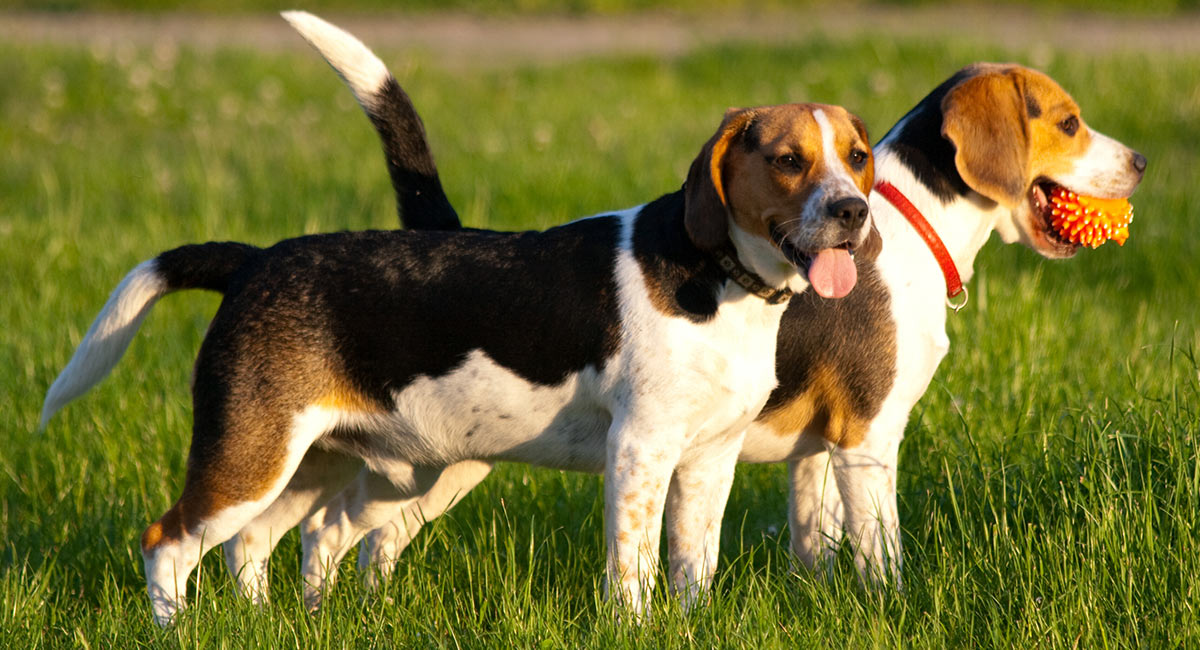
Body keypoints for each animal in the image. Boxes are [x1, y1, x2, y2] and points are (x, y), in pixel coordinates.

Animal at [231, 12, 1142, 602]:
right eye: (1069, 122)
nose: (1137, 162)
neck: (912, 217)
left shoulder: (813, 455)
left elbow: (812, 542)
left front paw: (813, 606)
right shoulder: (867, 441)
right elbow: (880, 556)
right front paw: (889, 610)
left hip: (433, 459)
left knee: (340, 535)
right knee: (325, 533)